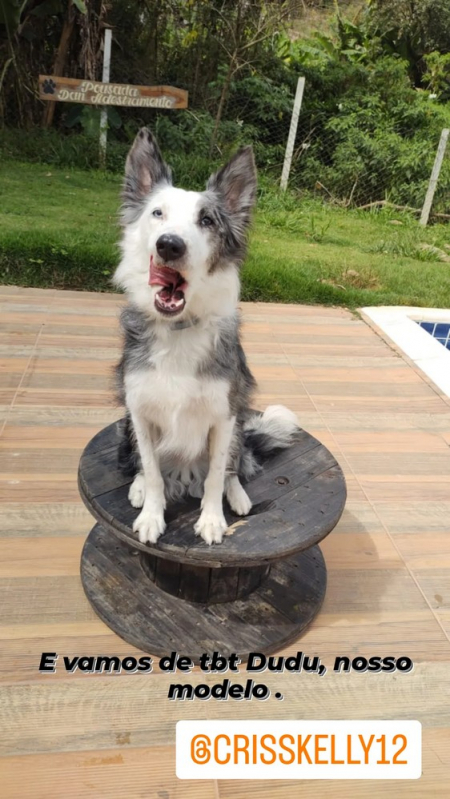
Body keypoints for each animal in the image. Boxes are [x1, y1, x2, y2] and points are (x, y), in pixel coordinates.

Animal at [114, 128, 300, 548]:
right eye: (157, 213)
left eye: (207, 220)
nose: (169, 244)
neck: (179, 329)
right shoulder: (139, 411)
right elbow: (152, 470)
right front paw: (151, 514)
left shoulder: (224, 414)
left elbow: (216, 474)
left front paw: (213, 520)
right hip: (126, 423)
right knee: (141, 464)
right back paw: (137, 487)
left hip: (240, 425)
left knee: (233, 466)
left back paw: (239, 495)